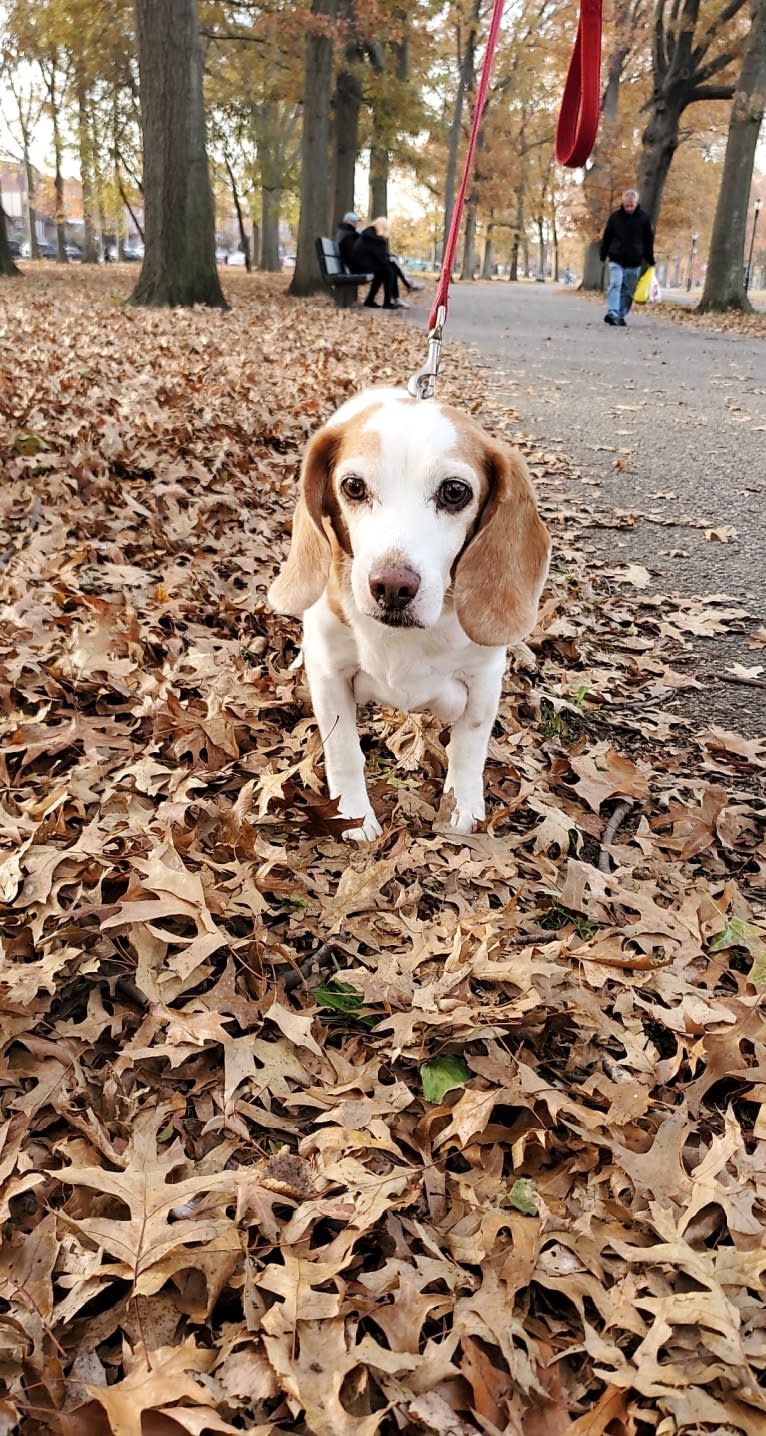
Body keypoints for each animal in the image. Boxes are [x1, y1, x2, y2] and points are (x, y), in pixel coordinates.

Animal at [268, 393, 548, 838]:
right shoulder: (330, 678)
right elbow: (343, 750)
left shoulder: (484, 680)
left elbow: (468, 749)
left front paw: (462, 807)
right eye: (353, 486)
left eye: (455, 491)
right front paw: (353, 814)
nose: (391, 587)